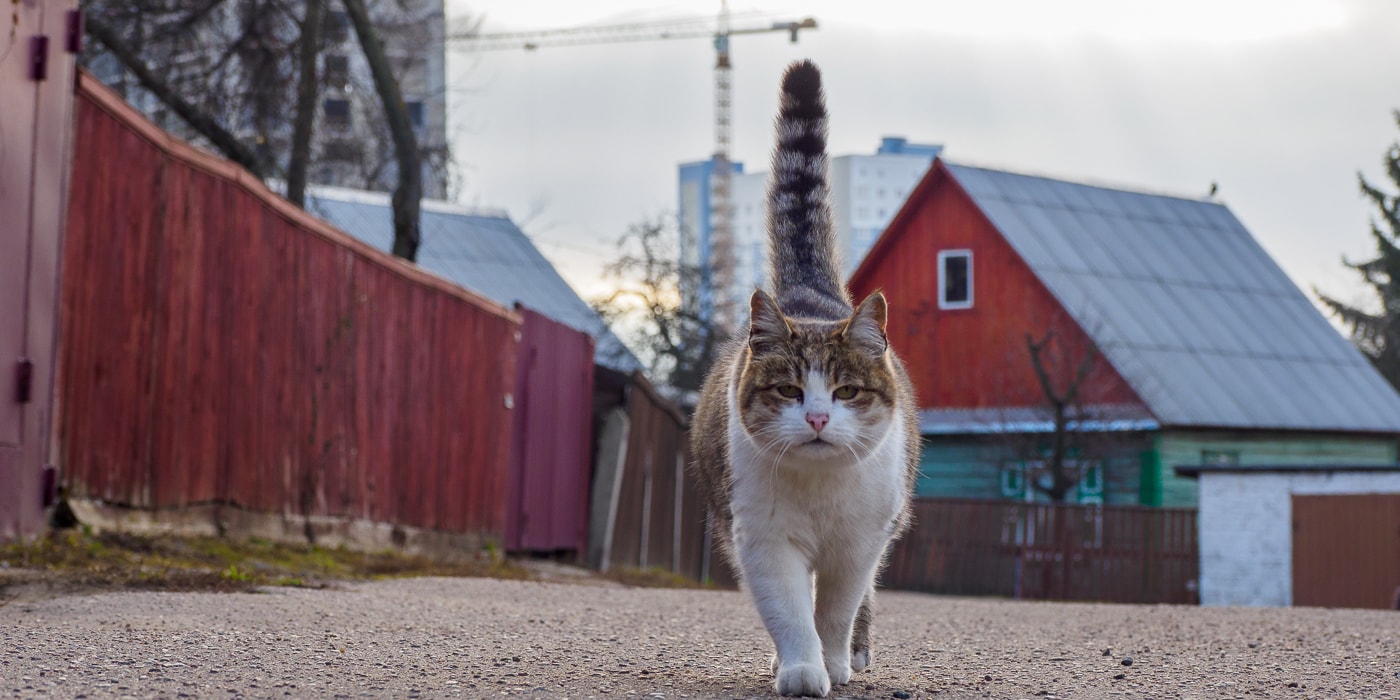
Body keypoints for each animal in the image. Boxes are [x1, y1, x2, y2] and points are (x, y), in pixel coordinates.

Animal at [686, 61, 918, 700]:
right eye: (789, 390)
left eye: (846, 391)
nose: (816, 417)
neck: (818, 490)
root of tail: (807, 297)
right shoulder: (761, 538)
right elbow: (790, 610)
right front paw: (799, 669)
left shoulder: (860, 543)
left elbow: (836, 608)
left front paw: (835, 663)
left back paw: (855, 655)